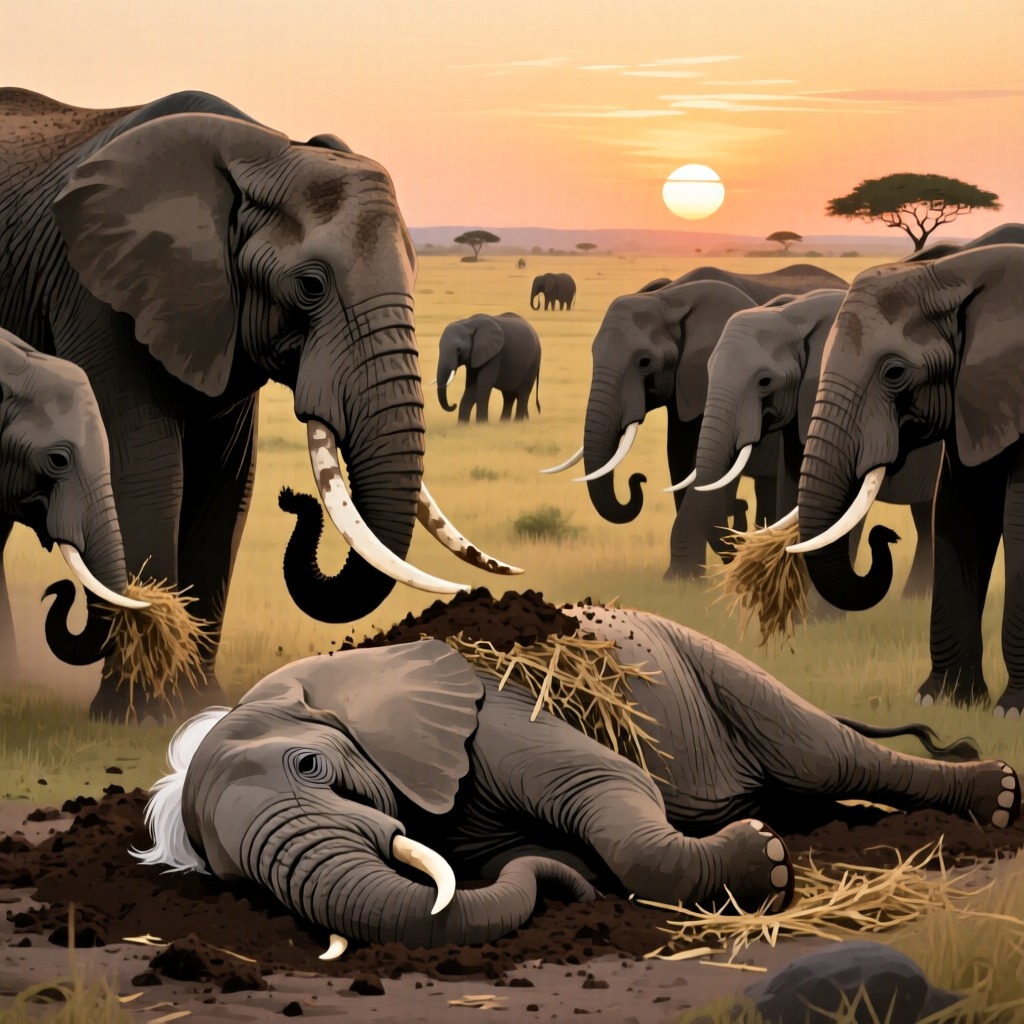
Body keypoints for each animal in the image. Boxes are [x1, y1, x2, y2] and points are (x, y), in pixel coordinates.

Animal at [132, 601, 1020, 951]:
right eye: (230, 878)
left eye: (311, 765)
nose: (578, 890)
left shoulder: (496, 714)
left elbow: (609, 790)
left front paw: (763, 862)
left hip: (716, 668)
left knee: (828, 753)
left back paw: (999, 797)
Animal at [545, 265, 849, 579]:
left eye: (644, 362)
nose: (637, 479)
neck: (670, 298)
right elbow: (679, 462)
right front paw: (686, 576)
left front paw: (682, 580)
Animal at [787, 244, 1024, 716]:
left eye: (894, 372)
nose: (885, 535)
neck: (959, 271)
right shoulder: (972, 401)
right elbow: (959, 516)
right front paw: (941, 702)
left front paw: (1012, 711)